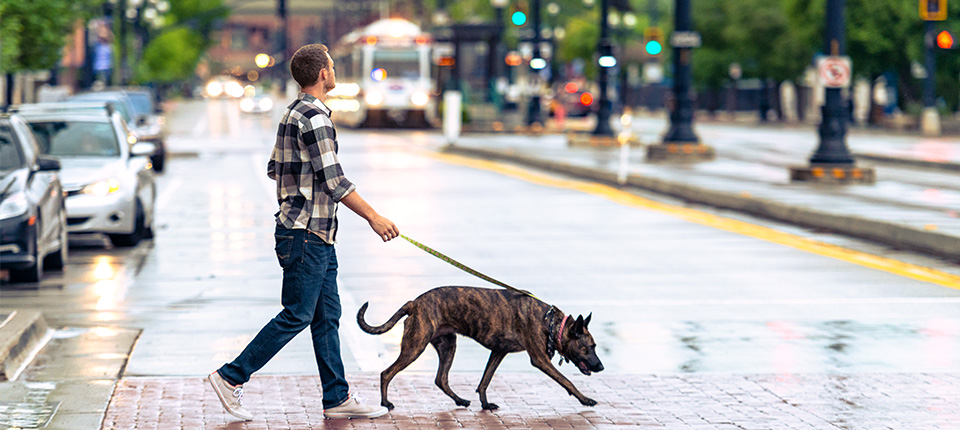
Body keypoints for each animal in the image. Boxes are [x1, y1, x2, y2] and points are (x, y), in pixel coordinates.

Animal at [356, 286, 604, 410]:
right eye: (589, 347)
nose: (601, 367)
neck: (551, 322)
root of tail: (413, 303)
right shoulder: (540, 360)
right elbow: (567, 381)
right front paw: (585, 399)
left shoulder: (498, 352)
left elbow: (485, 380)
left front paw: (484, 404)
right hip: (415, 347)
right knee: (386, 373)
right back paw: (385, 403)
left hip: (448, 345)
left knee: (441, 379)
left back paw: (459, 400)